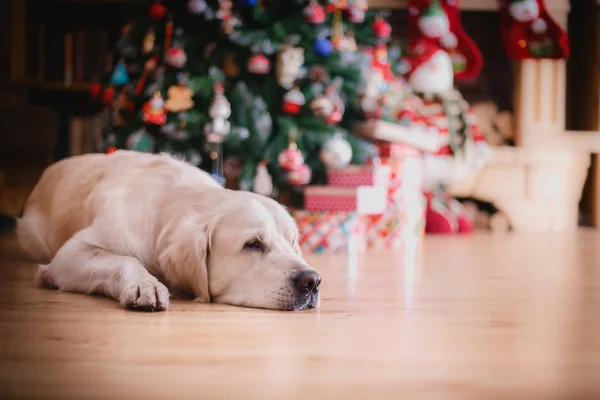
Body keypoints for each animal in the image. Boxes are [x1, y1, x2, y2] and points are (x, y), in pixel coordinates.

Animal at [7, 150, 322, 312]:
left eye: (293, 242)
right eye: (253, 244)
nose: (313, 281)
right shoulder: (69, 255)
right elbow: (125, 258)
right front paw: (144, 284)